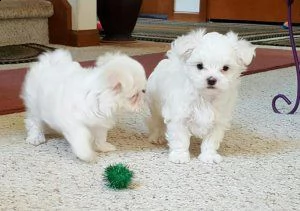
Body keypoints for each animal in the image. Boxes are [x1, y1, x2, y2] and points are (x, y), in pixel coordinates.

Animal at [145, 28, 255, 163]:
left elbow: (211, 141)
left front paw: (209, 156)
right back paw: (156, 137)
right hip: (154, 103)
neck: (205, 96)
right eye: (200, 66)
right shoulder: (179, 117)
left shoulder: (217, 121)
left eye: (225, 68)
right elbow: (180, 139)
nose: (211, 80)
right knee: (157, 121)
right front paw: (179, 156)